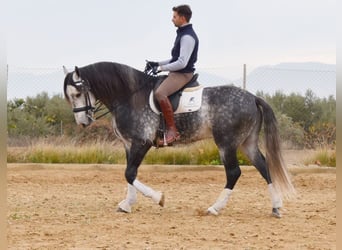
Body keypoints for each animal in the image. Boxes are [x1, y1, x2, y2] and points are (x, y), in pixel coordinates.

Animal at [62, 61, 296, 218]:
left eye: (77, 93)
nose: (83, 122)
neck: (129, 96)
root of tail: (253, 97)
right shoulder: (129, 144)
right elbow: (129, 174)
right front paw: (127, 204)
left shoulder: (142, 143)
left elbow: (129, 173)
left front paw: (159, 198)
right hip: (247, 143)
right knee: (263, 166)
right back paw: (276, 207)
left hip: (227, 143)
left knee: (233, 173)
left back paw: (214, 208)